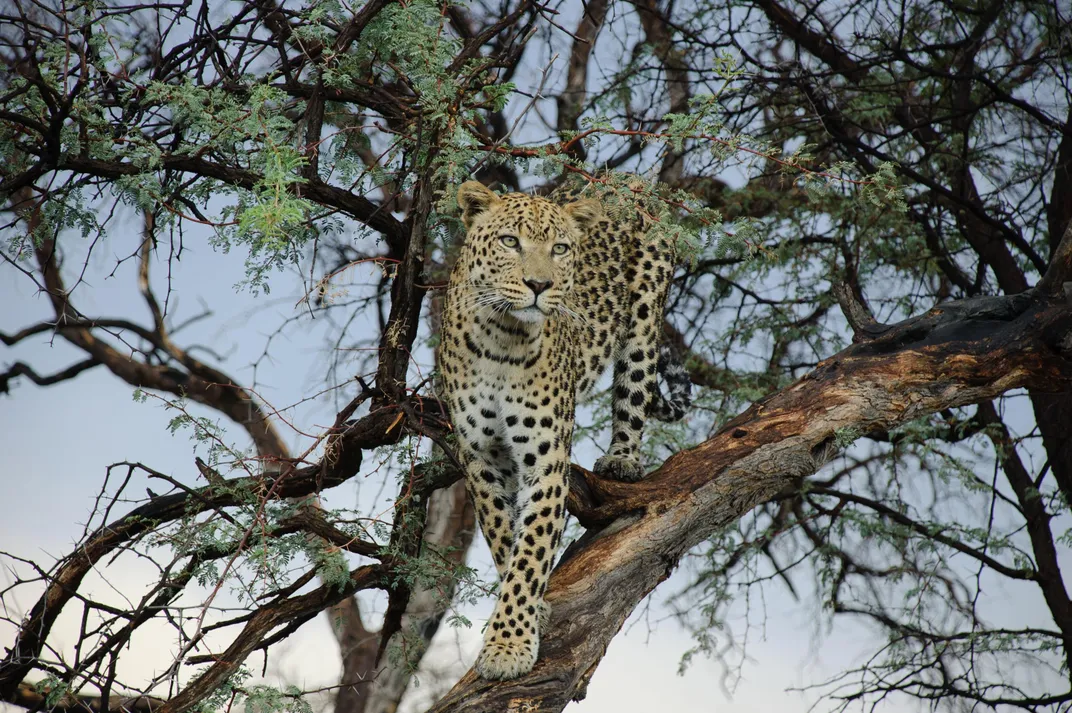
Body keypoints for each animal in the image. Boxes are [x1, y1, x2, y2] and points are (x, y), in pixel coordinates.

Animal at [438, 179, 691, 680]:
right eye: (509, 241)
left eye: (560, 248)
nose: (540, 286)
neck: (501, 337)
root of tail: (635, 185)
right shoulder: (480, 456)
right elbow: (505, 538)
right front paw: (527, 615)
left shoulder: (547, 459)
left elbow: (532, 548)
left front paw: (508, 645)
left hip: (643, 321)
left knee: (633, 392)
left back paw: (622, 459)